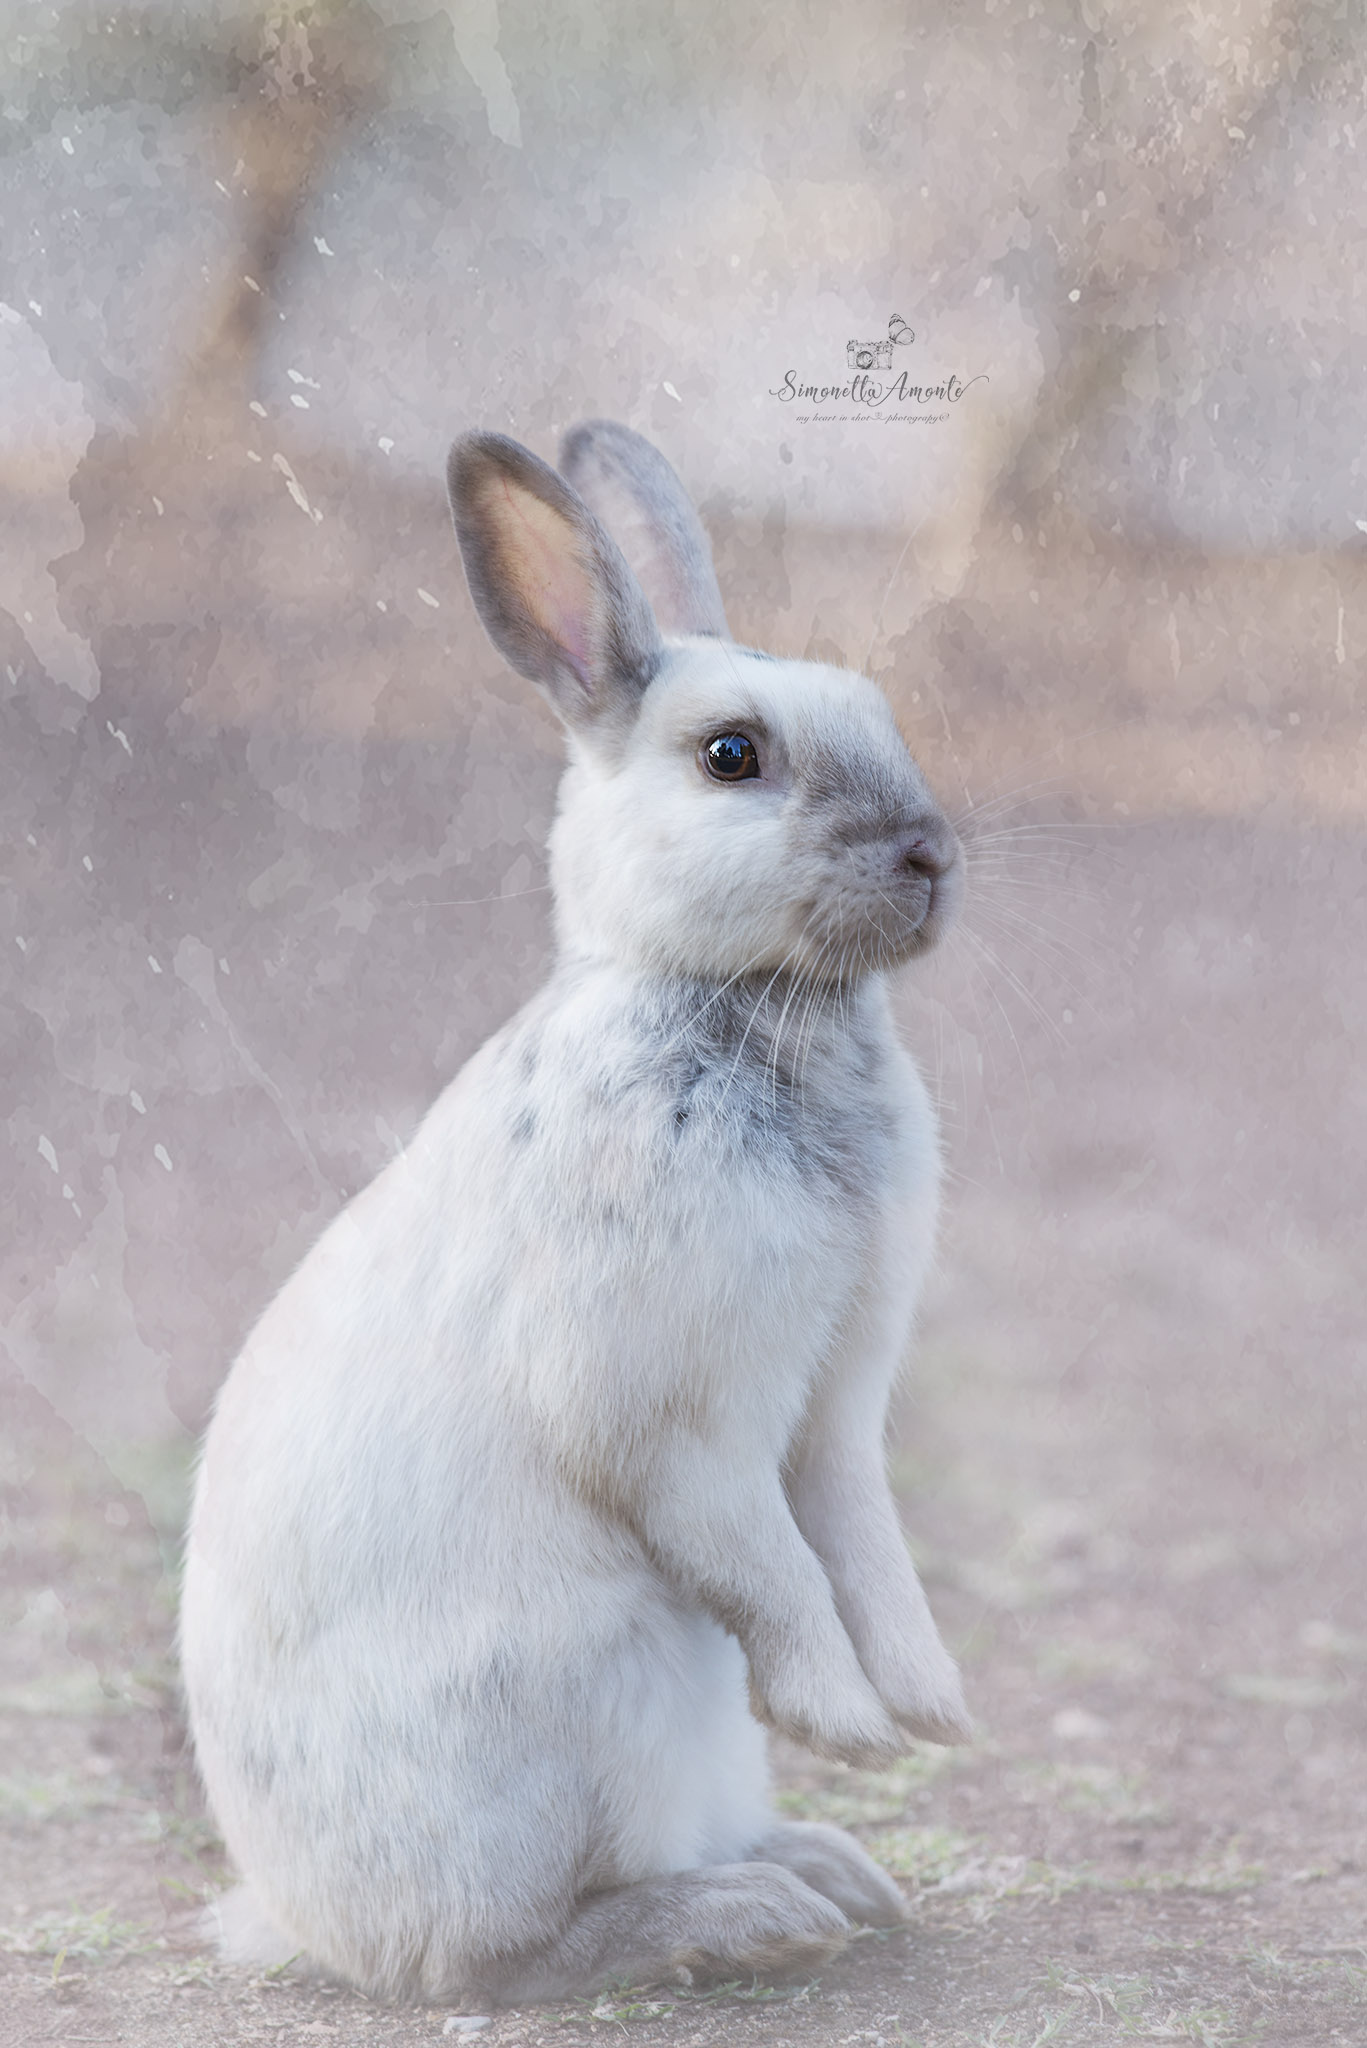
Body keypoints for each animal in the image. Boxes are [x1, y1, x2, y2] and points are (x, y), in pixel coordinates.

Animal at [178, 419, 972, 2006]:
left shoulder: (836, 1409)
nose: (927, 852)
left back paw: (824, 1870)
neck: (741, 1003)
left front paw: (929, 1711)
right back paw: (747, 1915)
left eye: (878, 709)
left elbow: (861, 1547)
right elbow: (772, 1567)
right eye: (731, 755)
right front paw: (851, 1727)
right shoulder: (680, 1419)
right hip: (585, 1705)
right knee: (502, 1957)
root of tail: (304, 1919)